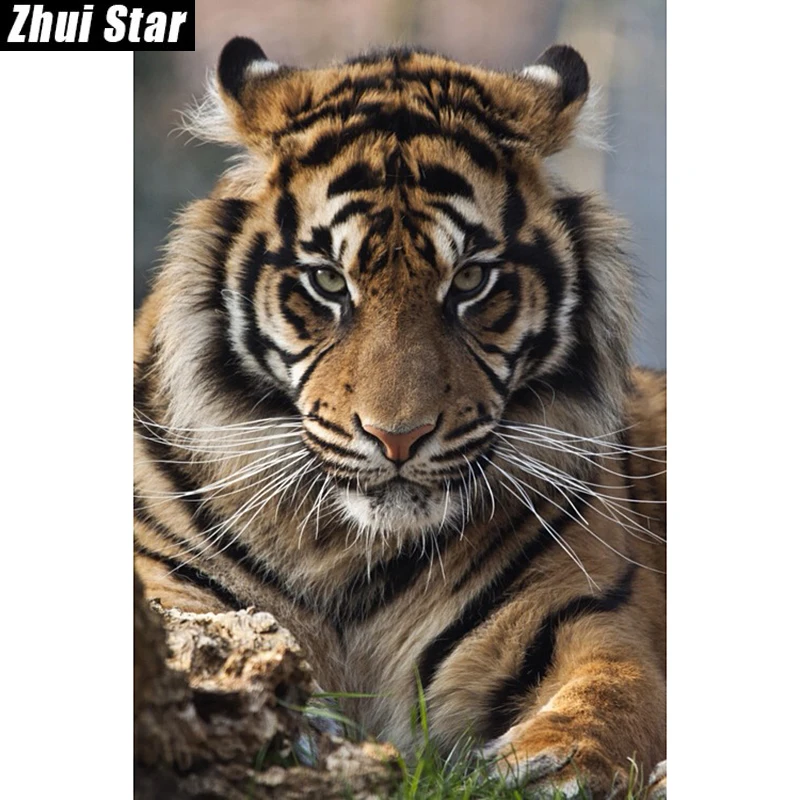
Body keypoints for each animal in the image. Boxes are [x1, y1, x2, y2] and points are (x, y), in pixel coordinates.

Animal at [134, 37, 666, 798]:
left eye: (470, 280)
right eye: (328, 282)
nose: (397, 437)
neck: (345, 551)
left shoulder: (584, 613)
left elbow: (612, 692)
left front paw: (545, 766)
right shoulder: (169, 588)